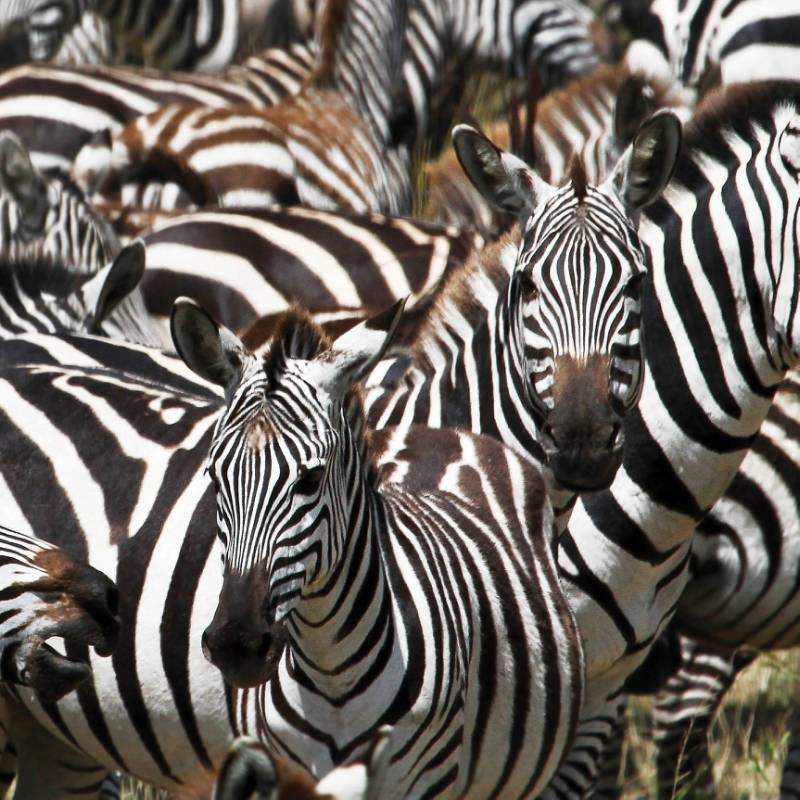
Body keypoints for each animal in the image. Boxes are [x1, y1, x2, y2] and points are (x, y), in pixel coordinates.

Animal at [171, 298, 584, 798]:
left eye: (311, 478)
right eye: (214, 476)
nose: (237, 644)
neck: (331, 671)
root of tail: (442, 433)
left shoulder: (427, 780)